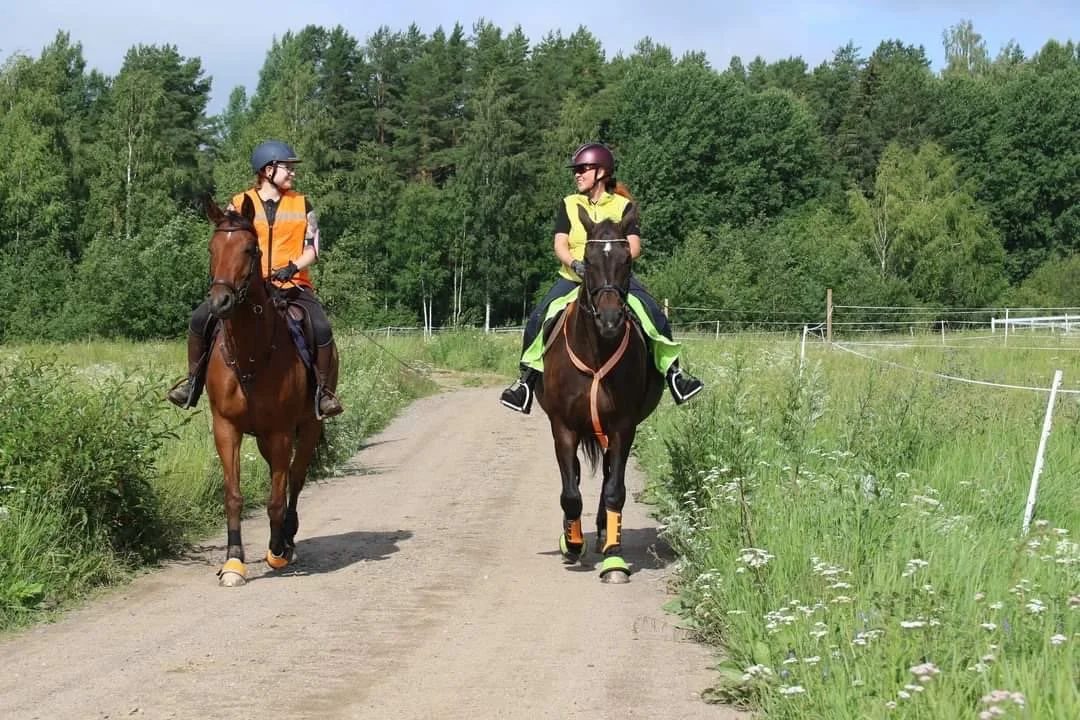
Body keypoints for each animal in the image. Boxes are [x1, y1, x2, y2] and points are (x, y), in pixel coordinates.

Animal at [202, 195, 327, 587]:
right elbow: (233, 496)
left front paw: (275, 551)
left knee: (295, 480)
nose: (220, 303)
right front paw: (233, 562)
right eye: (212, 249)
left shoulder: (282, 431)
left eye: (249, 248)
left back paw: (287, 537)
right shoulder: (226, 428)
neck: (251, 354)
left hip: (308, 427)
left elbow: (275, 497)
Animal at [534, 203, 664, 583]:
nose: (610, 320)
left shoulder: (623, 427)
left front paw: (614, 558)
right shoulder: (562, 427)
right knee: (576, 477)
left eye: (627, 260)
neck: (596, 352)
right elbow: (570, 492)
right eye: (588, 261)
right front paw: (572, 544)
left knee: (607, 476)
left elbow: (614, 491)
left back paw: (604, 532)